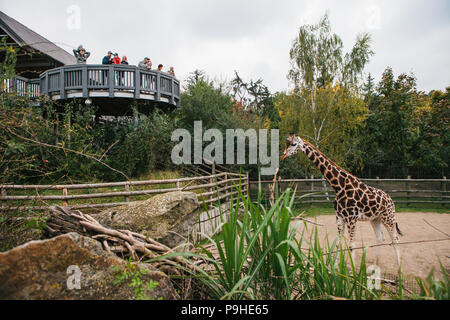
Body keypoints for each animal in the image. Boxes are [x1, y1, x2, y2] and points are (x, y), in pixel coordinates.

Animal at [282, 134, 404, 266]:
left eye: (294, 144)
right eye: (287, 143)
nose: (283, 155)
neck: (339, 186)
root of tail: (391, 200)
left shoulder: (351, 218)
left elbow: (351, 245)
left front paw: (353, 269)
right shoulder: (339, 216)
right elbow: (338, 244)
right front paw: (335, 267)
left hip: (388, 218)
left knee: (395, 239)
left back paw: (399, 266)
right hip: (375, 219)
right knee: (381, 238)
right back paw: (375, 264)